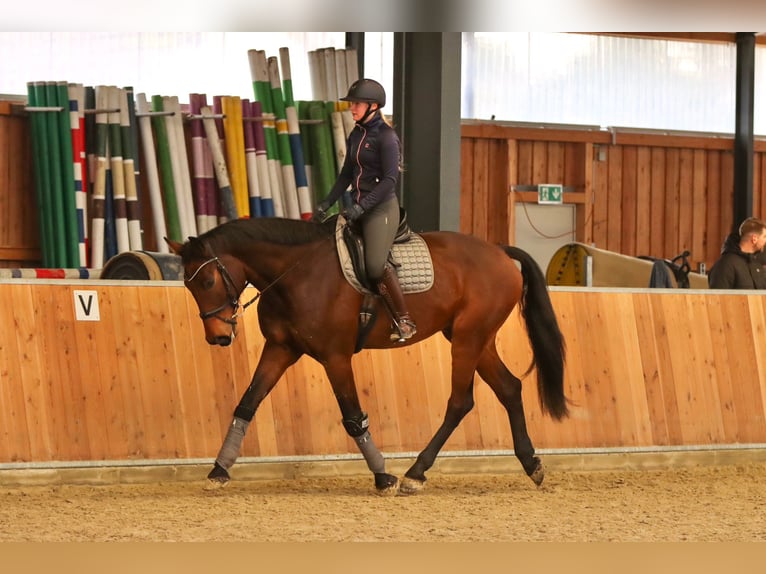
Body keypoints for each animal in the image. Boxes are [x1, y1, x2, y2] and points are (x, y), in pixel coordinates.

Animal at [171, 216, 572, 496]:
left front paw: (383, 477)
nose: (218, 337)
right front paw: (218, 471)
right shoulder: (281, 349)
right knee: (509, 388)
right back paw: (532, 465)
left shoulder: (335, 357)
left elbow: (352, 418)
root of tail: (501, 251)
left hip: (468, 340)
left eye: (207, 281)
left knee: (461, 402)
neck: (297, 274)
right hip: (476, 339)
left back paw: (415, 474)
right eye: (188, 285)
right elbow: (247, 404)